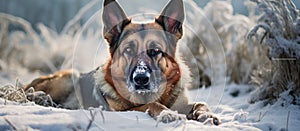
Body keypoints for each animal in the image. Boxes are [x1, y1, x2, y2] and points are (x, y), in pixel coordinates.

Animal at [25, 0, 220, 125]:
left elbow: (201, 104)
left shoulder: (183, 103)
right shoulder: (123, 111)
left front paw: (207, 116)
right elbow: (151, 104)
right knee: (29, 92)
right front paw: (168, 113)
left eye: (155, 51)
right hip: (68, 77)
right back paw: (41, 98)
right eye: (128, 50)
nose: (141, 79)